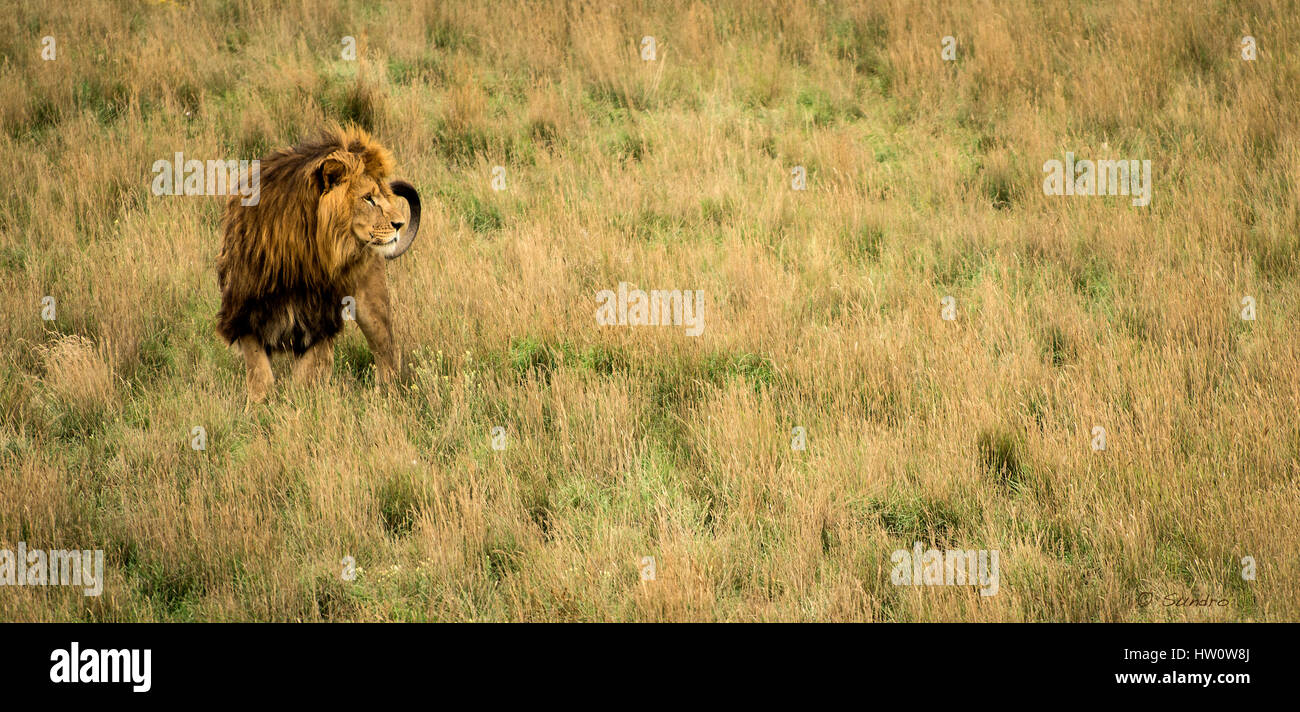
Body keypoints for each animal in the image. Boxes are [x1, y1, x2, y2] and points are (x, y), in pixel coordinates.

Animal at [217, 126, 421, 402]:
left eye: (383, 196)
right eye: (368, 198)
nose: (399, 224)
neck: (301, 255)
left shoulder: (320, 319)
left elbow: (307, 377)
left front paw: (300, 403)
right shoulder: (245, 312)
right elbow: (260, 377)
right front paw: (259, 408)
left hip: (373, 302)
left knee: (386, 352)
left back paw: (386, 397)